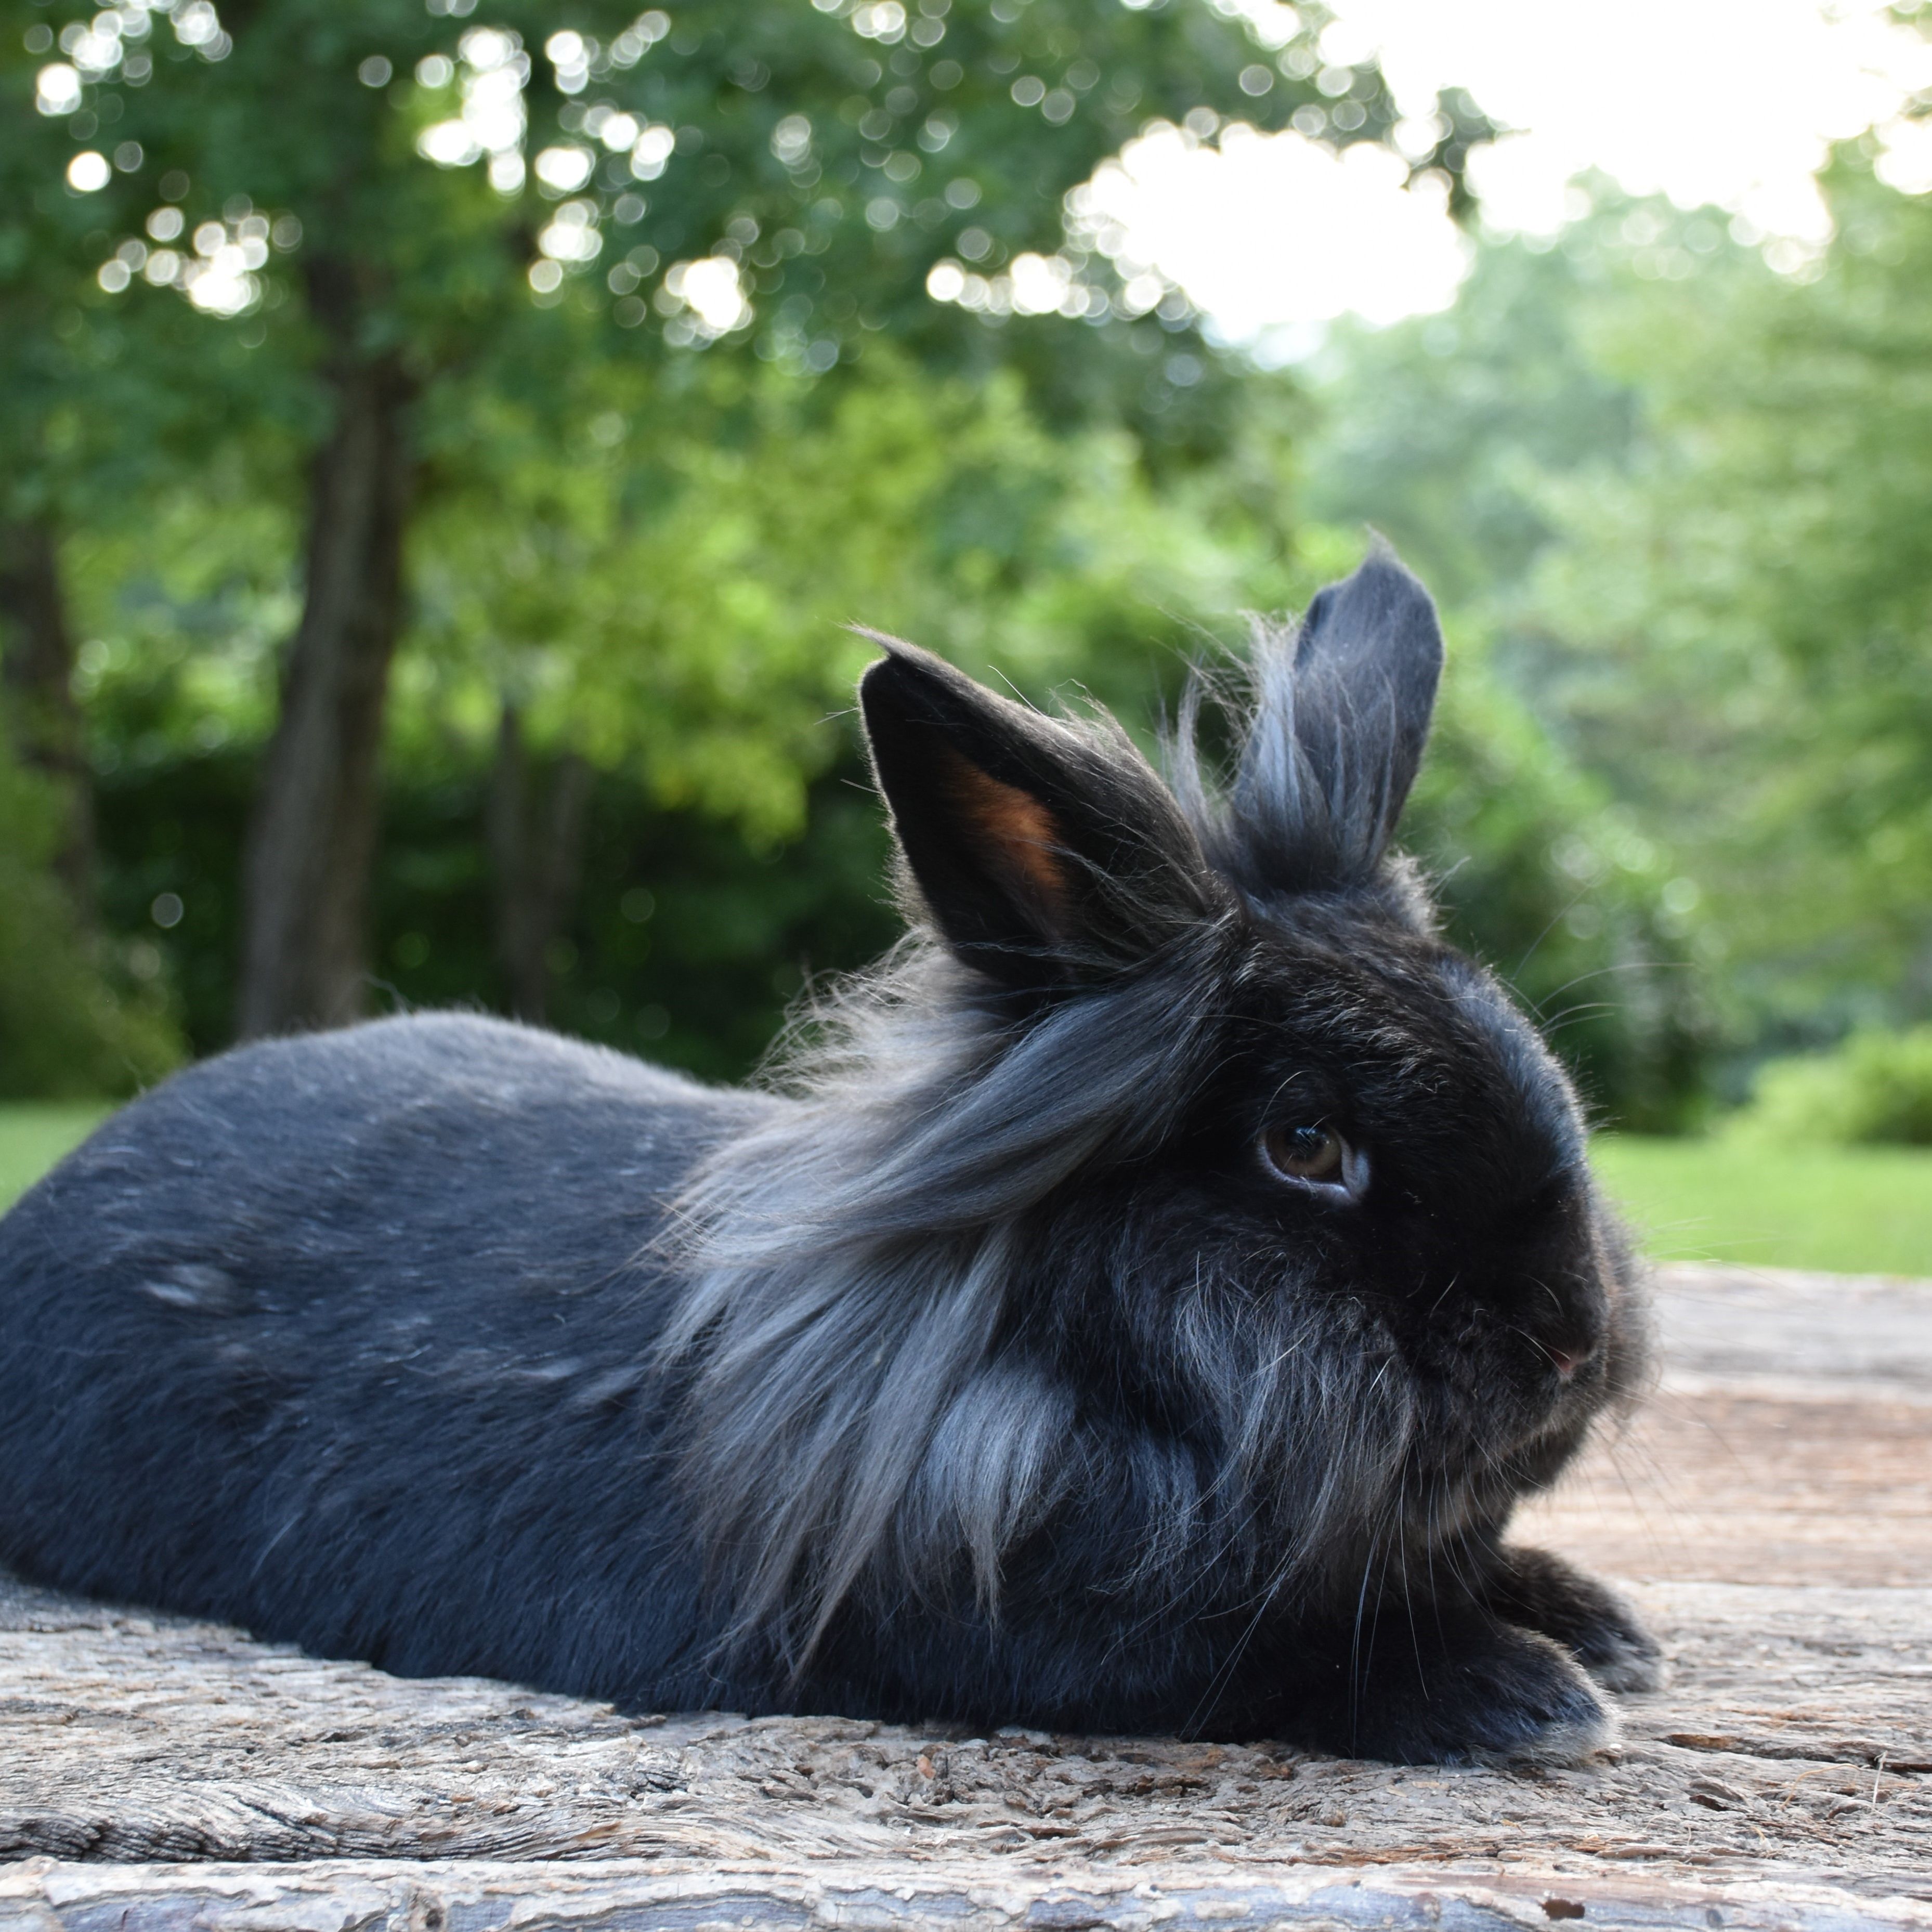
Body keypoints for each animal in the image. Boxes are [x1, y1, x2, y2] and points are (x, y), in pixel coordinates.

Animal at [0, 550, 1660, 1766]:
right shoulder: (1024, 1630)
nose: (1567, 1339)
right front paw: (1521, 1689)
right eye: (1304, 1141)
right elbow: (1264, 1661)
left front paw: (1596, 1622)